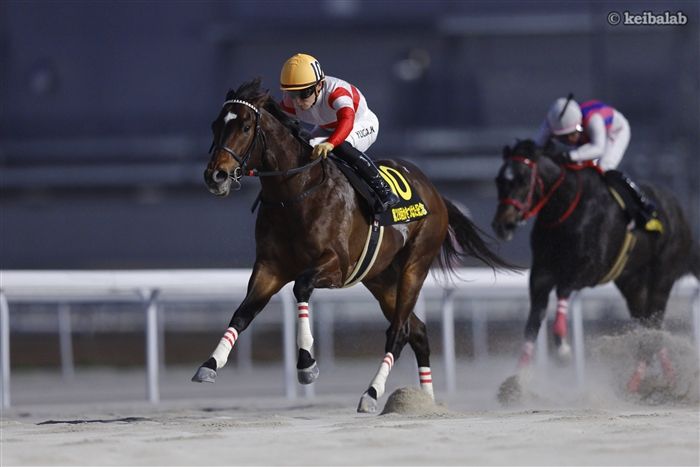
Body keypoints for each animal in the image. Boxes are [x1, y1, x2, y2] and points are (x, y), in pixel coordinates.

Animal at [192, 78, 517, 412]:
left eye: (245, 126)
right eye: (216, 125)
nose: (215, 175)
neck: (295, 193)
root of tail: (435, 193)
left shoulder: (336, 266)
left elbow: (301, 288)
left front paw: (307, 364)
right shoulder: (270, 267)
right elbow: (243, 313)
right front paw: (210, 363)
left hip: (415, 265)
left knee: (399, 331)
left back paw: (372, 393)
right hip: (381, 278)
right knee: (418, 331)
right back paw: (424, 403)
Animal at [491, 139, 699, 401]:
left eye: (523, 180)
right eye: (499, 180)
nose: (502, 225)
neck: (564, 207)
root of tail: (679, 210)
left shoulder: (590, 269)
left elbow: (563, 290)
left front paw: (563, 348)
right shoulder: (540, 275)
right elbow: (532, 322)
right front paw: (514, 384)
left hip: (663, 275)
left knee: (654, 322)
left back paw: (651, 382)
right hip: (632, 283)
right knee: (648, 324)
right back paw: (650, 382)